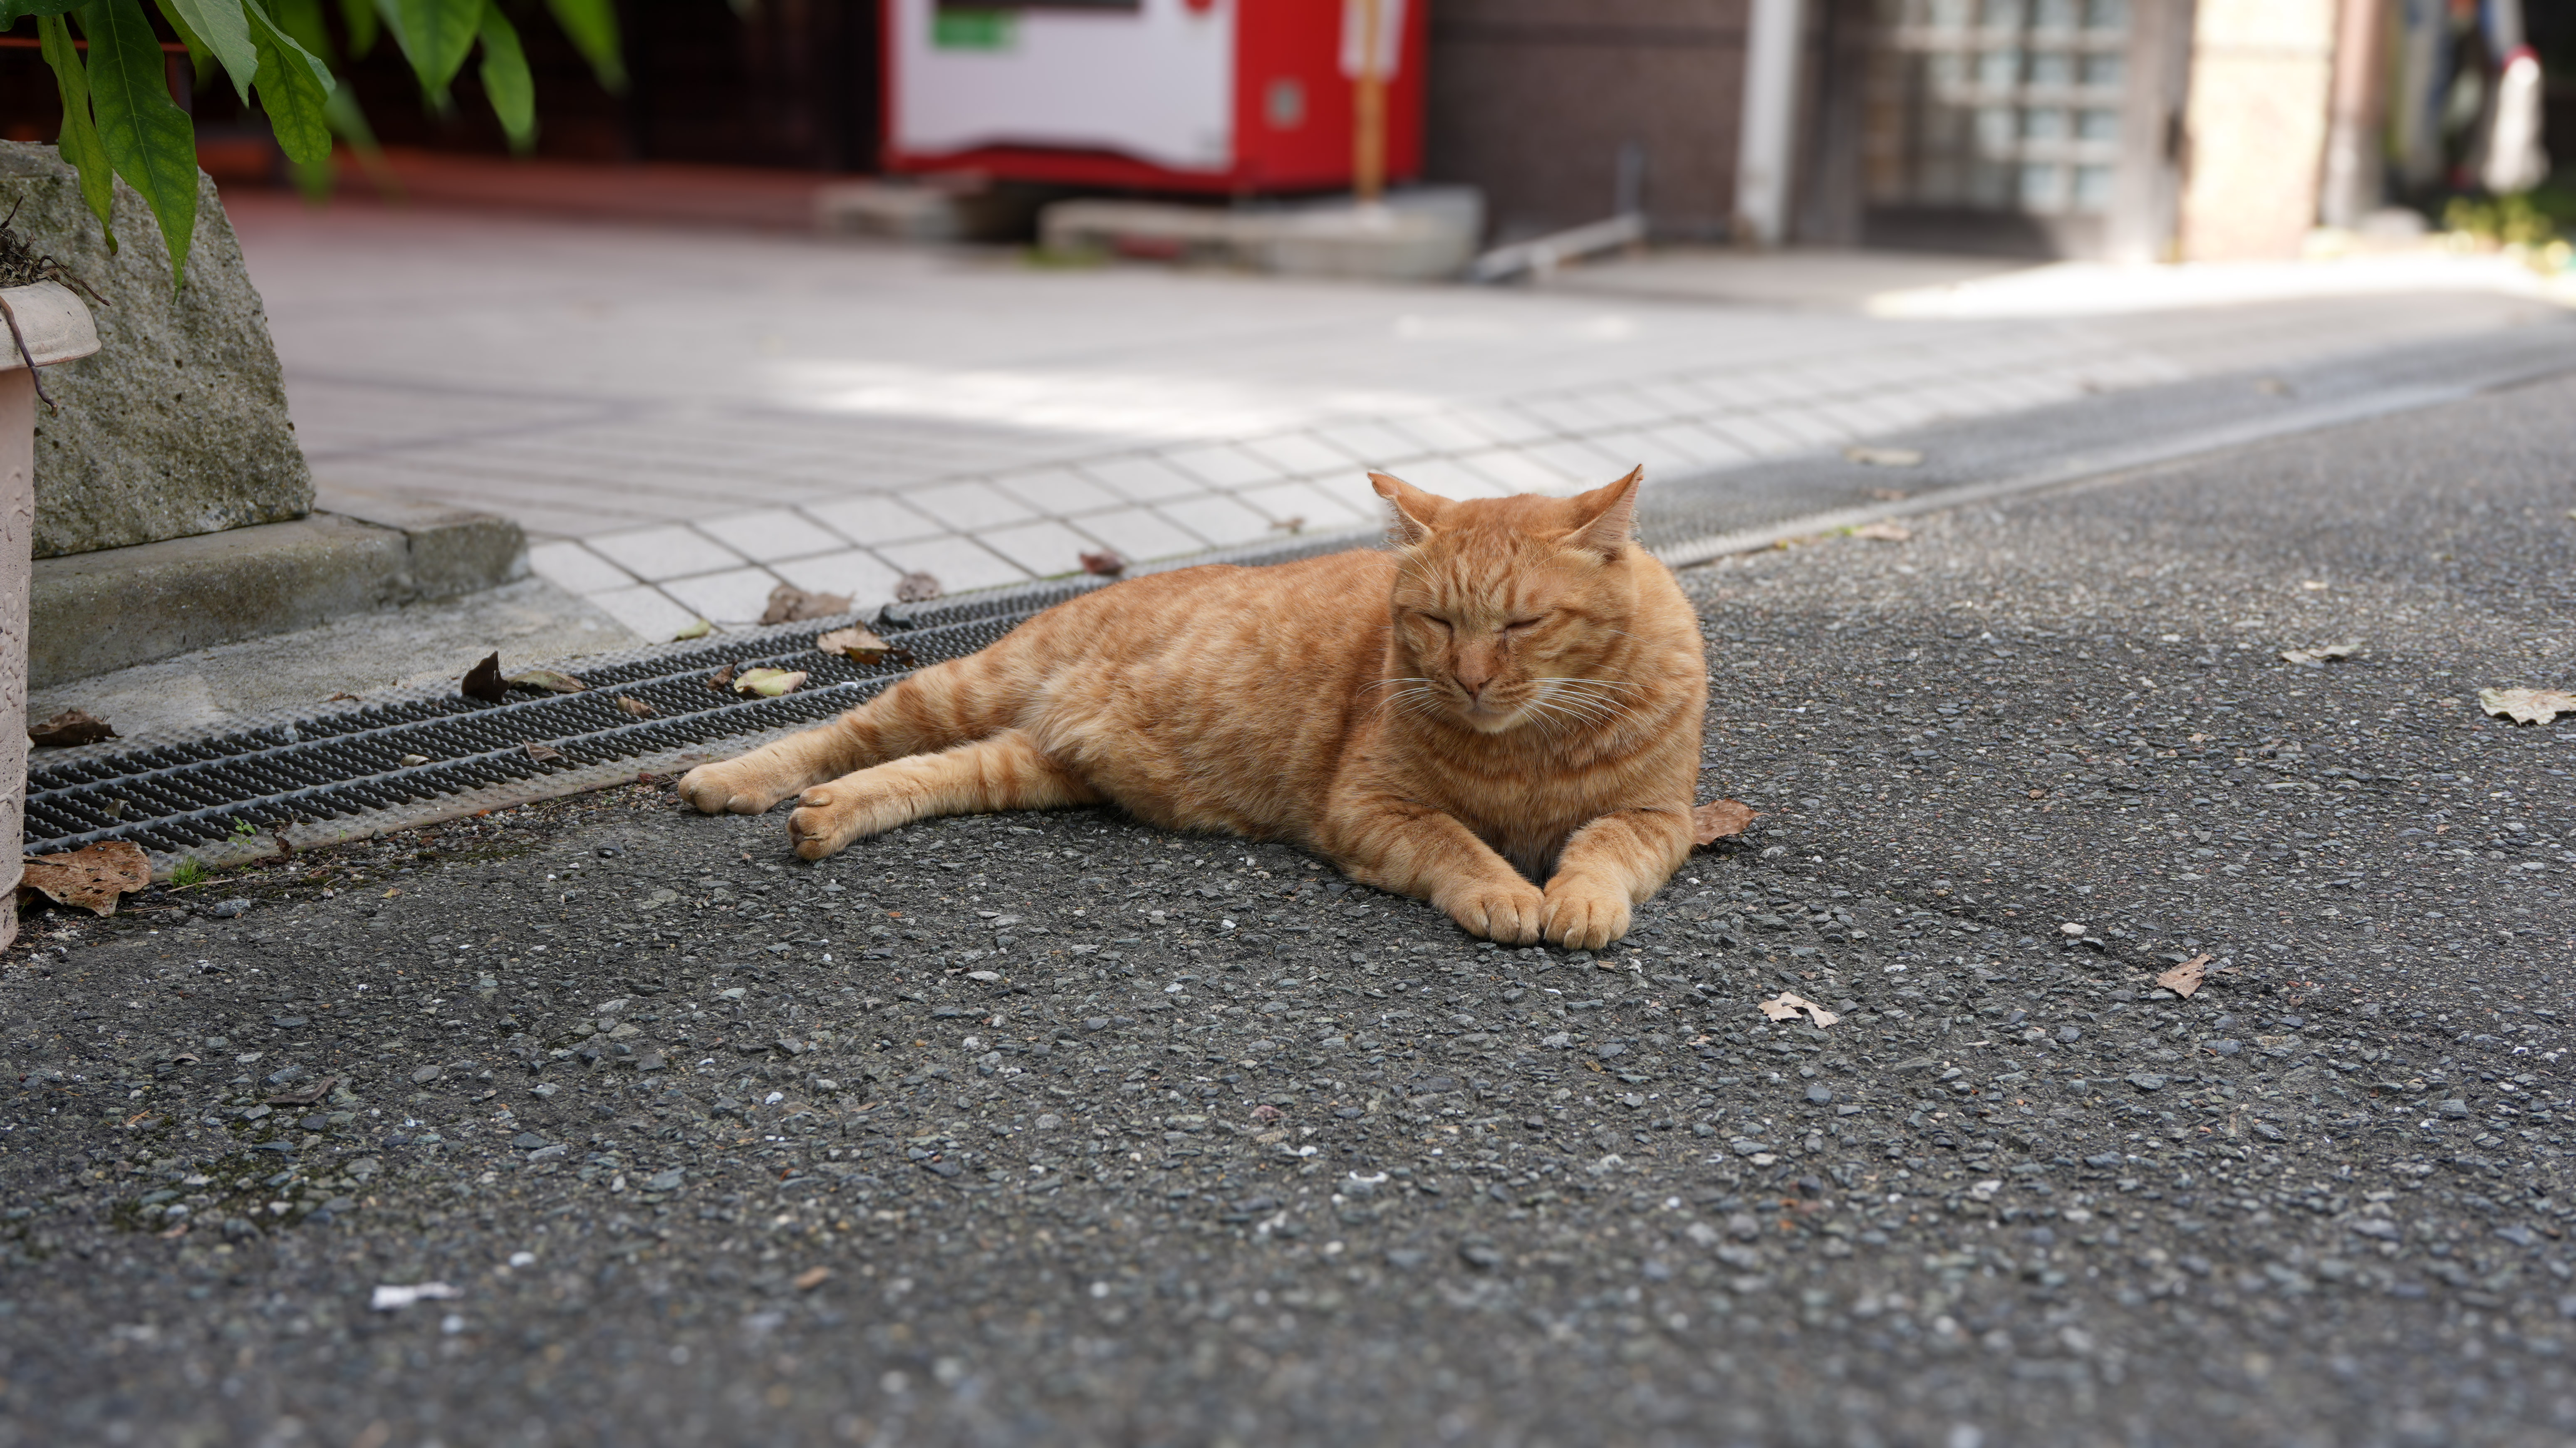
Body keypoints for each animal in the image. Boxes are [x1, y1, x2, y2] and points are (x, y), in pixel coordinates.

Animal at [675, 461, 1700, 953]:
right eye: (1437, 620)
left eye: (1523, 623)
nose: (1473, 679)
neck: (1527, 749)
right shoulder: (1373, 807)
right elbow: (1461, 846)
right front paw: (1507, 891)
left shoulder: (1661, 818)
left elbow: (1604, 852)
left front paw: (1578, 901)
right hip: (964, 687)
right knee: (836, 735)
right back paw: (734, 779)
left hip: (1025, 764)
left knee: (917, 774)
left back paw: (828, 817)